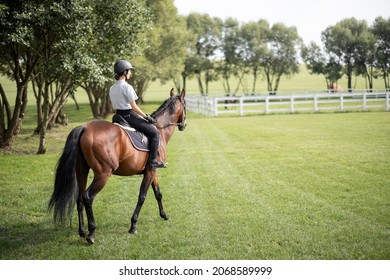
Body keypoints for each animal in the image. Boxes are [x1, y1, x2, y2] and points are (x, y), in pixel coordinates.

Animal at [48, 88, 186, 244]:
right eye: (185, 105)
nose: (183, 125)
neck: (160, 130)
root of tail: (84, 128)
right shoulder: (151, 171)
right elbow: (142, 196)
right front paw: (133, 225)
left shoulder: (152, 171)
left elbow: (158, 193)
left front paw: (164, 215)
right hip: (103, 174)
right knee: (88, 197)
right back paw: (91, 233)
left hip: (81, 171)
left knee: (79, 198)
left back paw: (82, 231)